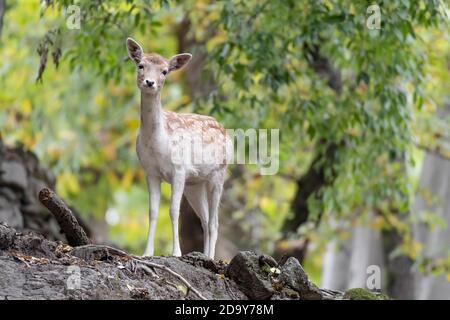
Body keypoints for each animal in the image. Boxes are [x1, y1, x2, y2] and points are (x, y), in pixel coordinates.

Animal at [126, 37, 232, 258]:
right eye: (141, 65)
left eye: (165, 71)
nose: (150, 82)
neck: (158, 142)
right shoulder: (150, 171)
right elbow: (153, 211)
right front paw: (147, 253)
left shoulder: (179, 169)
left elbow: (174, 210)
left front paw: (176, 253)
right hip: (195, 184)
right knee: (205, 220)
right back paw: (203, 255)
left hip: (219, 174)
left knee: (215, 223)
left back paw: (210, 257)